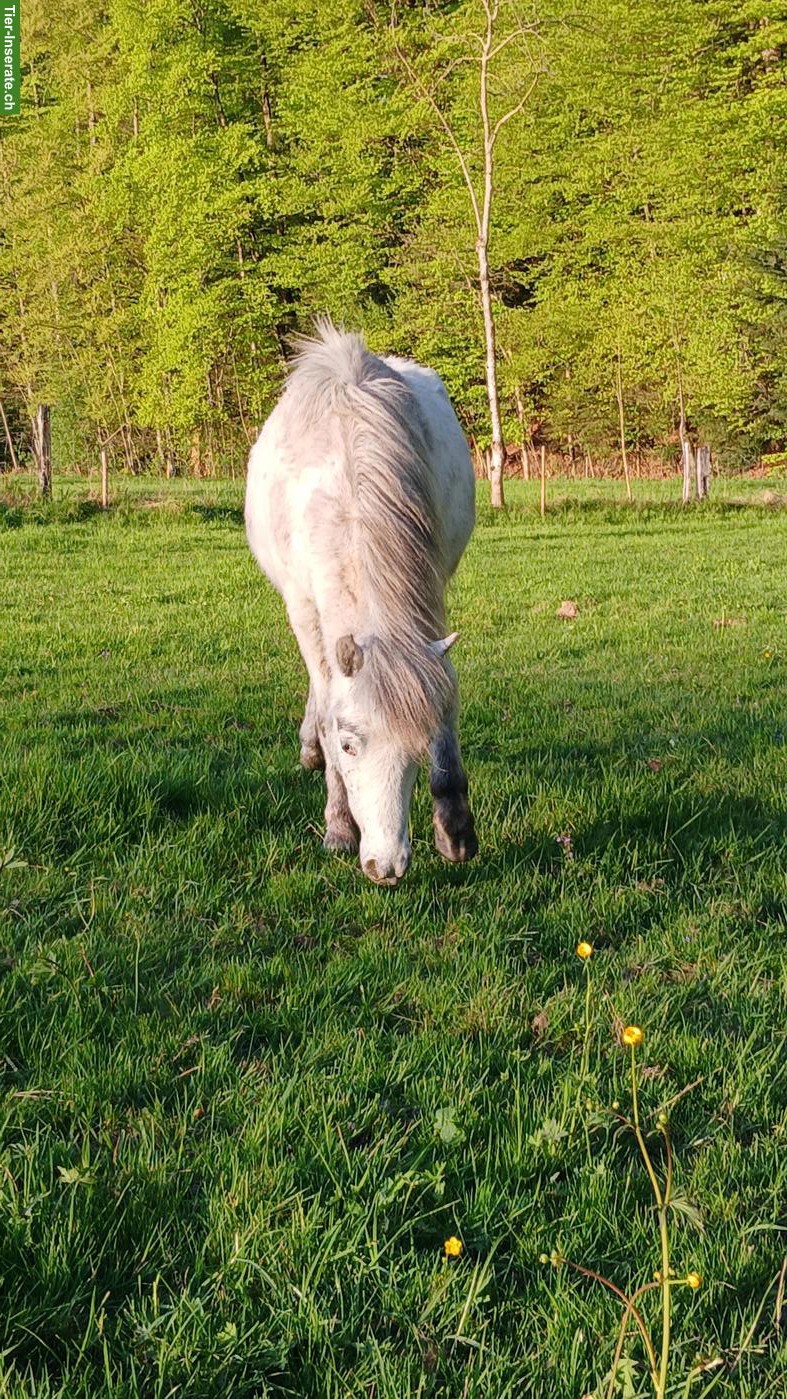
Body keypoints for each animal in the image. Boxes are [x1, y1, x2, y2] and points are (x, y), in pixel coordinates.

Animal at [244, 320, 477, 885]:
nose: (386, 866)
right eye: (351, 745)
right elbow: (328, 703)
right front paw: (338, 826)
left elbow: (442, 698)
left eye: (417, 749)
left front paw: (455, 826)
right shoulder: (305, 611)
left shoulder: (429, 601)